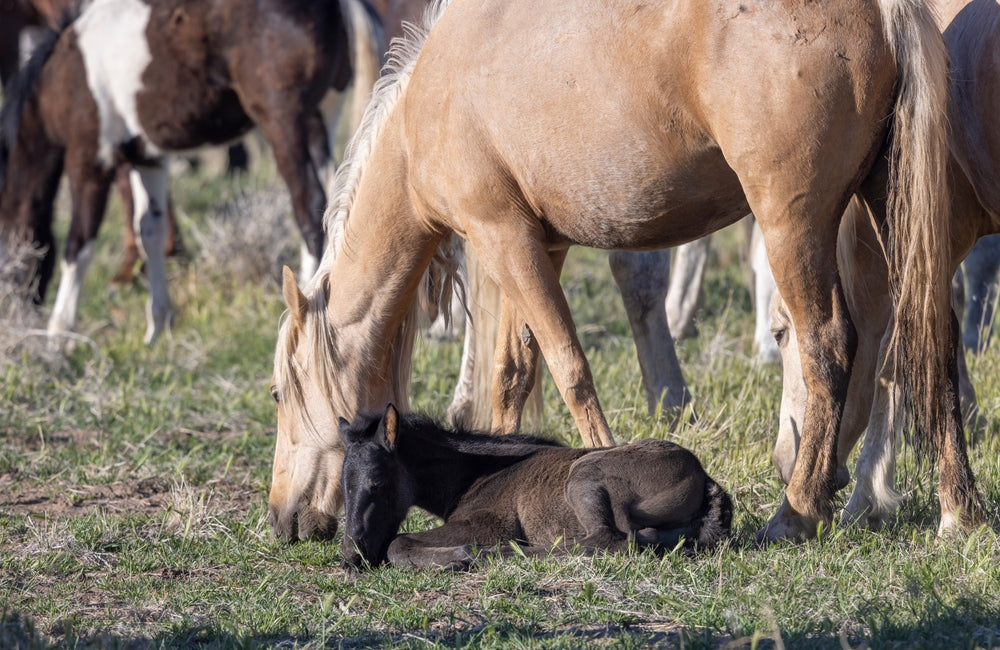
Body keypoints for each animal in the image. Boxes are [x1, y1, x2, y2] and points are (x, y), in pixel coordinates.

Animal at [0, 0, 382, 344]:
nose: (13, 316)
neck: (65, 73)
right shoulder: (149, 159)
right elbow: (149, 231)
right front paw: (158, 325)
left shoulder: (89, 161)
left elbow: (78, 246)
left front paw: (58, 334)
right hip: (321, 121)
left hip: (285, 123)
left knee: (308, 204)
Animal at [268, 0, 967, 544]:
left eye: (277, 393)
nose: (280, 519)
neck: (429, 106)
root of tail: (881, 10)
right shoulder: (537, 246)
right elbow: (513, 372)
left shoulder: (502, 238)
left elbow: (570, 370)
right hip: (890, 212)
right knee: (932, 336)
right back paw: (960, 510)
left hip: (793, 225)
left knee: (828, 345)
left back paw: (797, 511)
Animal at [338, 404, 732, 569]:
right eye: (342, 486)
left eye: (377, 483)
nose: (352, 556)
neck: (473, 473)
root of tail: (704, 478)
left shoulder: (487, 523)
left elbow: (398, 542)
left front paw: (456, 557)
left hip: (584, 476)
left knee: (608, 541)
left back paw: (486, 554)